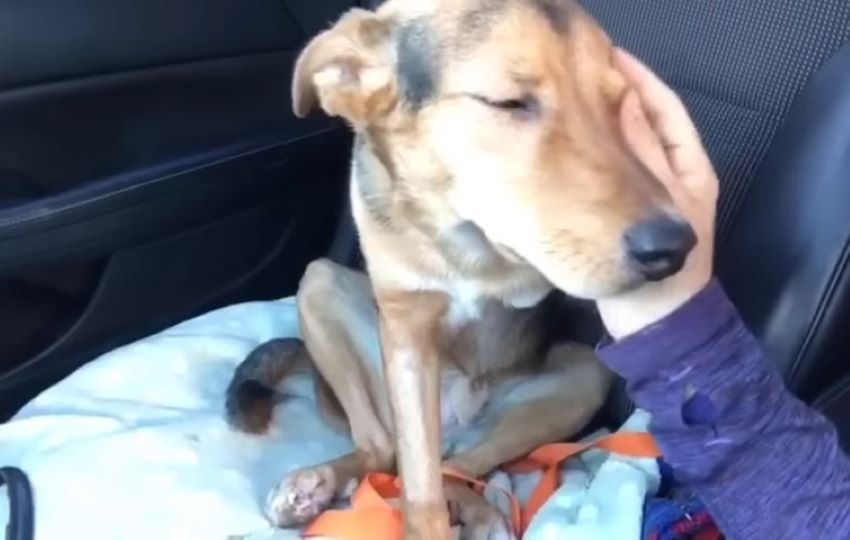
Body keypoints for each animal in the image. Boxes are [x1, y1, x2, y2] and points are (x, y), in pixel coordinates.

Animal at [224, 0, 688, 536]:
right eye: (509, 103)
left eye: (619, 107)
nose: (677, 246)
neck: (455, 225)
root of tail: (457, 417)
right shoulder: (405, 332)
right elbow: (418, 485)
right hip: (320, 287)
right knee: (388, 453)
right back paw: (316, 485)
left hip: (580, 379)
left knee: (456, 467)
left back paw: (483, 514)